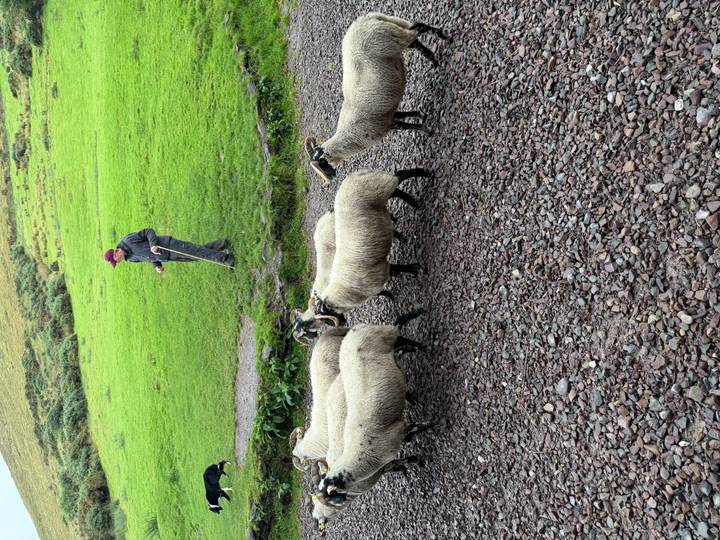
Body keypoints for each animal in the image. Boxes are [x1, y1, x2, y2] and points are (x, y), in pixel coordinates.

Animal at [305, 12, 450, 184]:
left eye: (322, 164)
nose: (330, 179)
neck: (347, 138)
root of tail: (365, 19)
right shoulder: (387, 117)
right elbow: (405, 115)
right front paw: (421, 116)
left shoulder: (385, 124)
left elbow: (409, 126)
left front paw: (427, 130)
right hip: (394, 28)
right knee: (416, 31)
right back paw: (434, 56)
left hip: (390, 39)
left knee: (419, 29)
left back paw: (443, 37)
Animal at [312, 168, 430, 323]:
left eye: (327, 318)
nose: (344, 322)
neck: (344, 287)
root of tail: (353, 176)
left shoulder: (380, 270)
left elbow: (399, 268)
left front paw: (415, 268)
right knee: (398, 185)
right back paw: (413, 203)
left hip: (379, 187)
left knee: (400, 176)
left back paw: (426, 175)